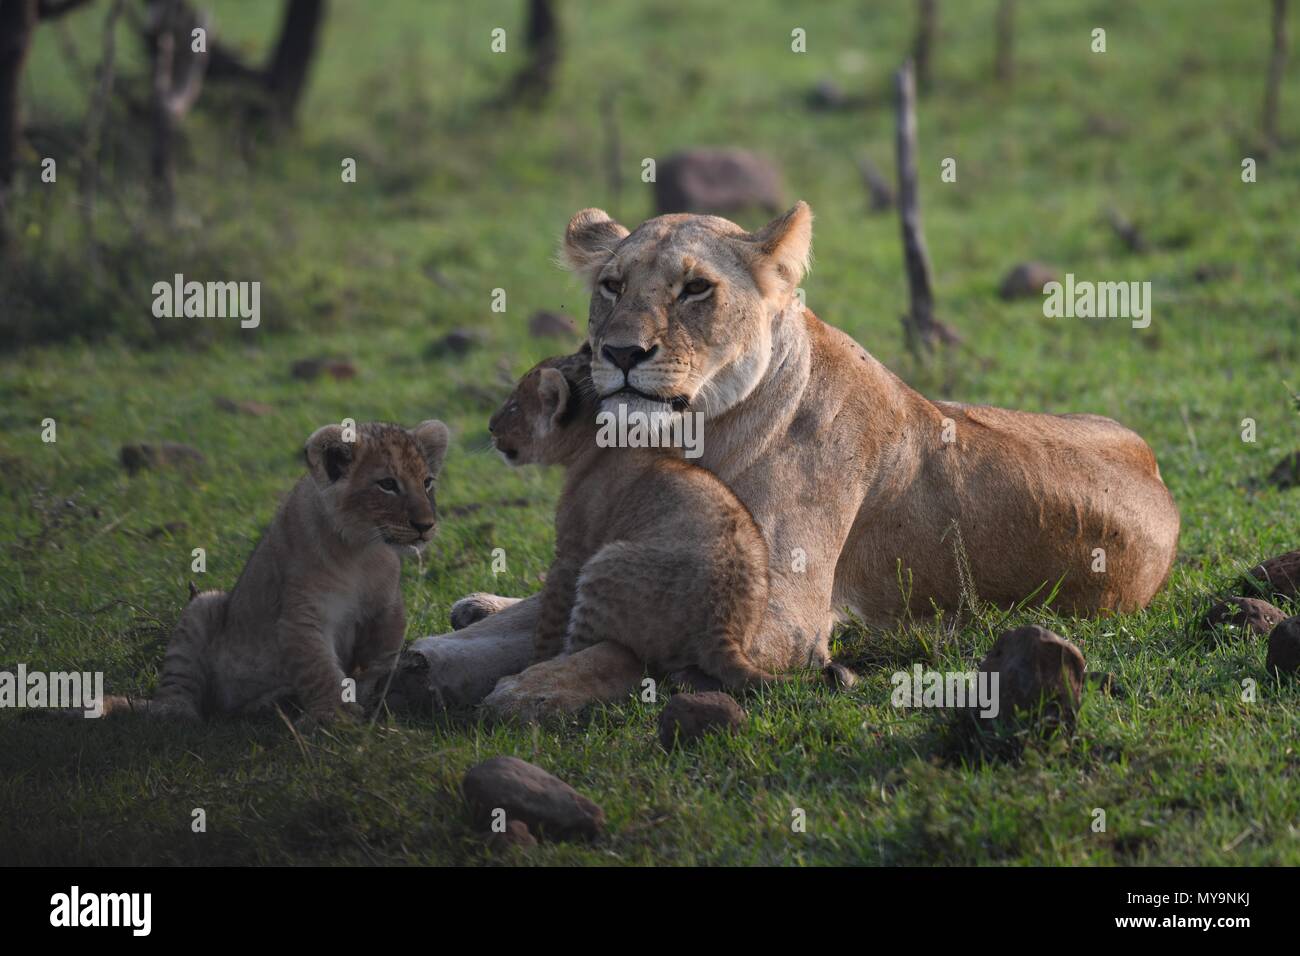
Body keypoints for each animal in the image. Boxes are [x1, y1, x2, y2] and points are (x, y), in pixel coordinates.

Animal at [407, 202, 1179, 718]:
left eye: (696, 289)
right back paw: (477, 605)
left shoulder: (784, 619)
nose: (621, 352)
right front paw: (429, 655)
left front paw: (531, 685)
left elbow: (620, 644)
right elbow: (529, 619)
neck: (694, 434)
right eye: (612, 286)